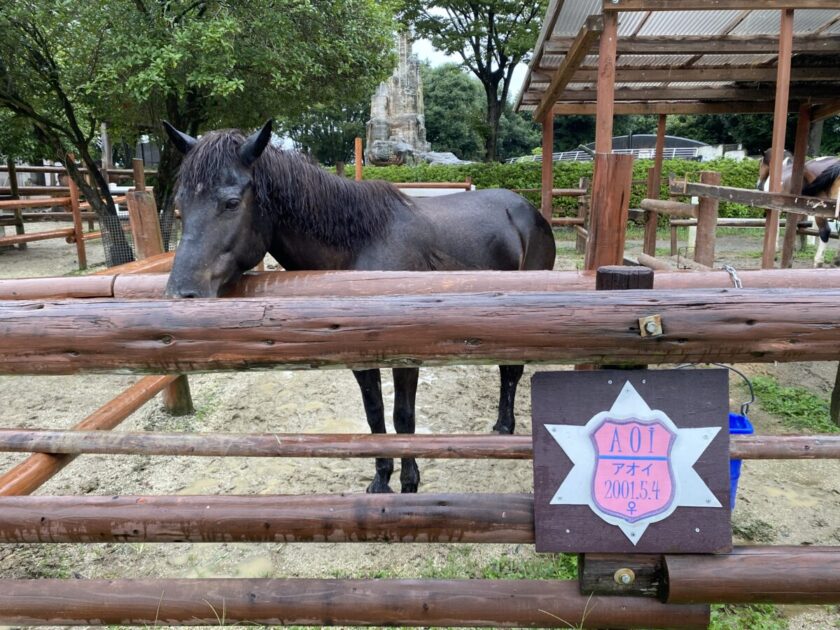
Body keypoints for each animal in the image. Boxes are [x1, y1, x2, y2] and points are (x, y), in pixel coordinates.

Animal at [164, 121, 556, 496]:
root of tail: (526, 209)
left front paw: (409, 482)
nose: (181, 295)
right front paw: (381, 479)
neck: (361, 248)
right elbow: (374, 414)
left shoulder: (407, 355)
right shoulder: (359, 355)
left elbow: (403, 417)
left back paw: (504, 429)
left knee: (511, 371)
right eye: (180, 204)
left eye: (231, 202)